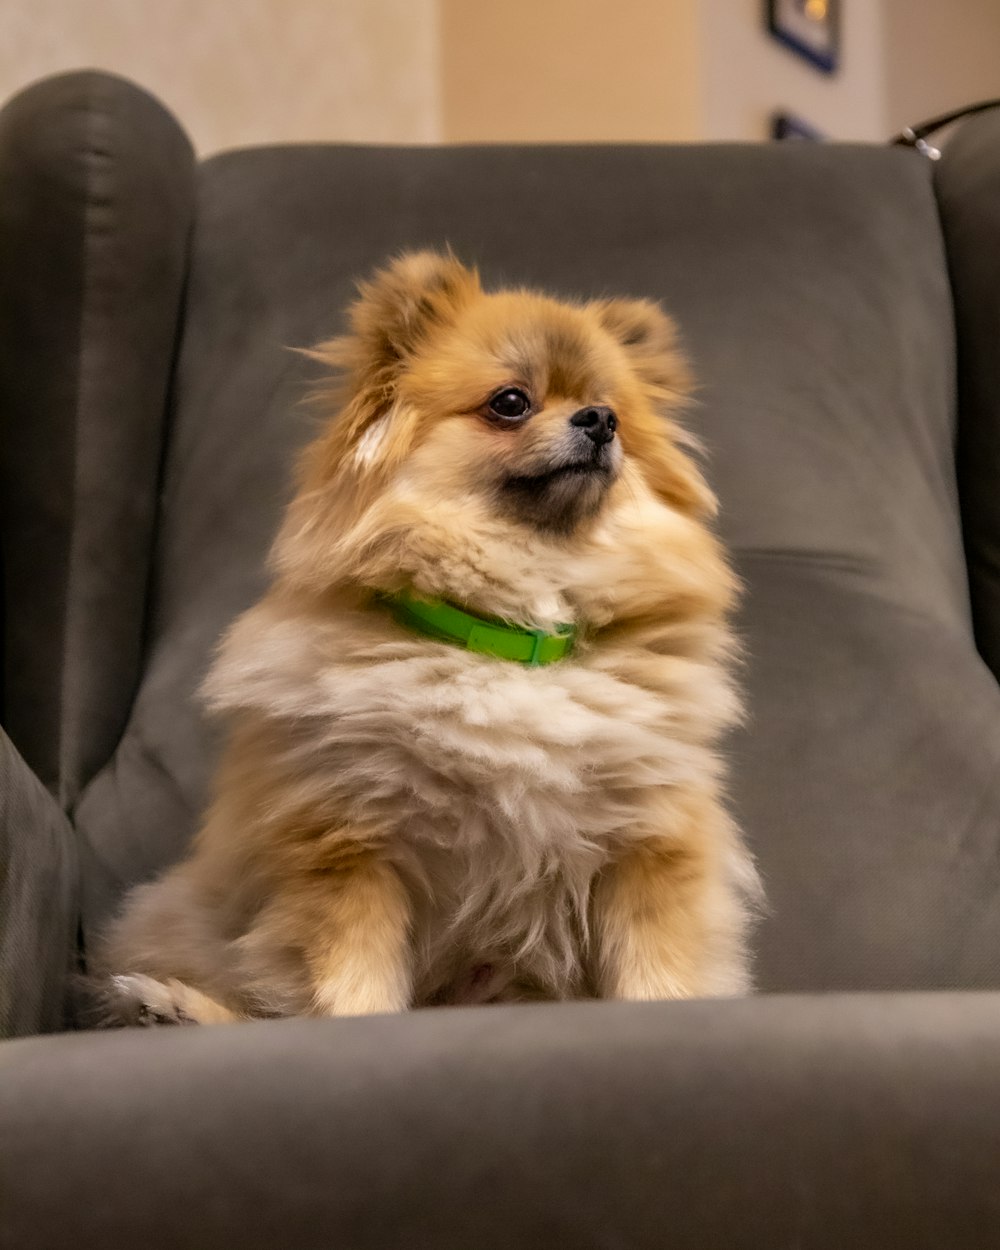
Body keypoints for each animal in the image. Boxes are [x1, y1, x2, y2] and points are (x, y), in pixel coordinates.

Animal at [99, 251, 760, 1025]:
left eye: (615, 412)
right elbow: (353, 984)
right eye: (511, 402)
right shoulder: (348, 848)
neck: (509, 639)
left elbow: (658, 979)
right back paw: (172, 1006)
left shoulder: (647, 850)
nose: (599, 422)